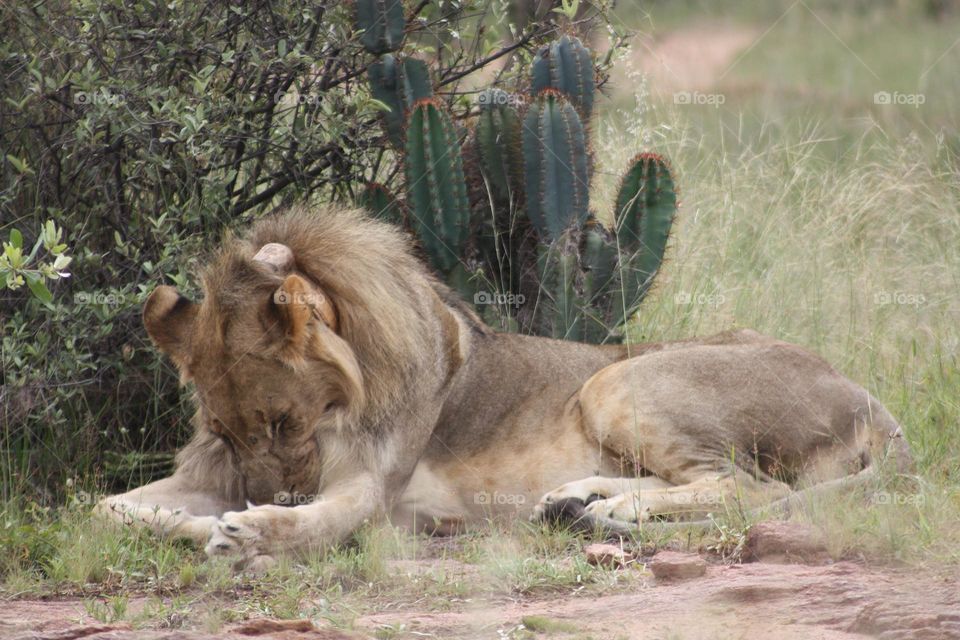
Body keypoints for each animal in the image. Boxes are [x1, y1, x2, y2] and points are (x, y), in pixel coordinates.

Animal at [96, 204, 910, 570]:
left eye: (283, 425)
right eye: (230, 433)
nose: (268, 493)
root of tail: (869, 398)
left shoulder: (374, 490)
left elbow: (320, 522)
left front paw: (250, 531)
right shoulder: (213, 473)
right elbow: (105, 511)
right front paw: (207, 524)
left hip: (618, 379)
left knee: (748, 487)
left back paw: (603, 509)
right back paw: (581, 504)